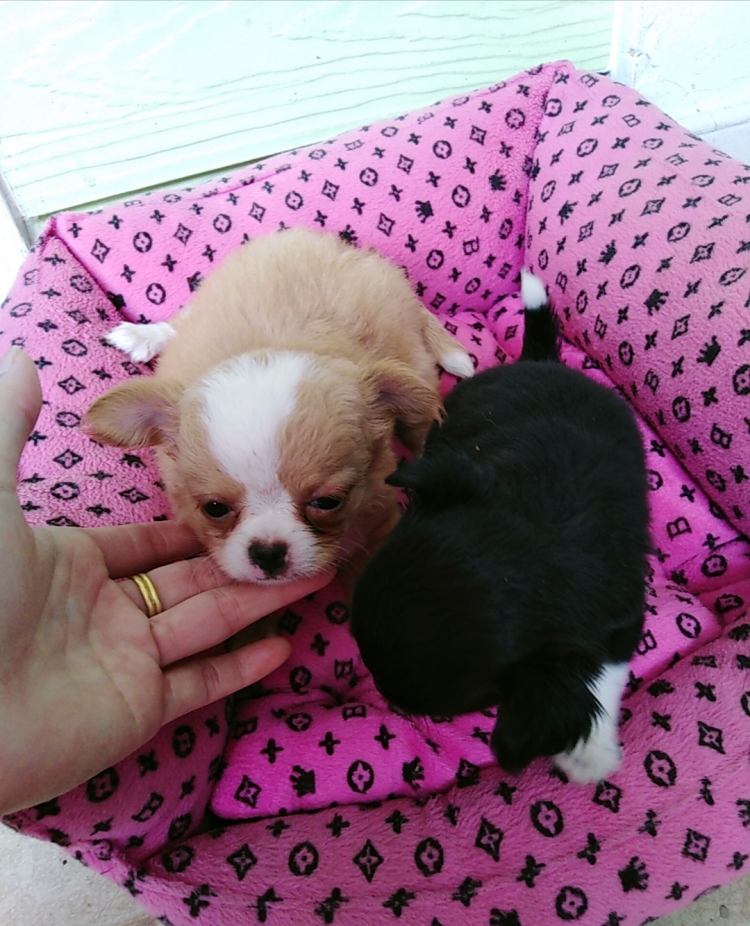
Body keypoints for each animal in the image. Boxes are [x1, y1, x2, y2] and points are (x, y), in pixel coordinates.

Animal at [84, 227, 473, 586]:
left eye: (328, 502)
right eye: (214, 509)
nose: (268, 552)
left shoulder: (377, 511)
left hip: (415, 366)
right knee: (177, 324)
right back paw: (142, 336)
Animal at [351, 271, 650, 783]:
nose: (384, 698)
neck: (541, 533)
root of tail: (539, 359)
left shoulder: (621, 614)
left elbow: (603, 673)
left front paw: (589, 753)